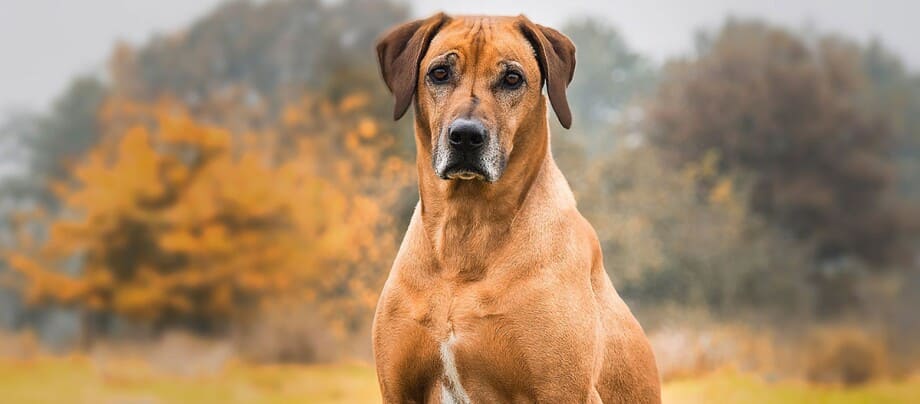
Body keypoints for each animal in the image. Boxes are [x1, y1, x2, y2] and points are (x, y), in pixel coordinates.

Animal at [374, 13, 660, 404]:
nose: (466, 136)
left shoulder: (564, 389)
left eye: (512, 78)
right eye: (439, 73)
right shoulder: (399, 389)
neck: (466, 231)